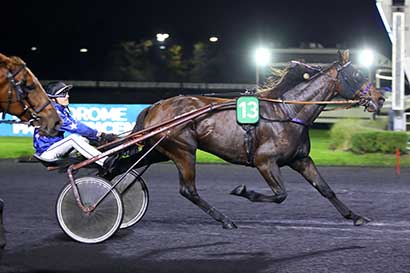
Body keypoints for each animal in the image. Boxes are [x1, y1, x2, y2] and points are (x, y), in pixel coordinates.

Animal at [125, 50, 384, 228]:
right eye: (356, 74)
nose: (380, 98)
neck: (287, 112)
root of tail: (155, 106)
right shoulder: (264, 161)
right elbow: (280, 195)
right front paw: (243, 191)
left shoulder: (301, 159)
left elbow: (325, 189)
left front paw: (355, 216)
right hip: (183, 151)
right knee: (188, 190)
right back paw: (225, 220)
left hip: (159, 150)